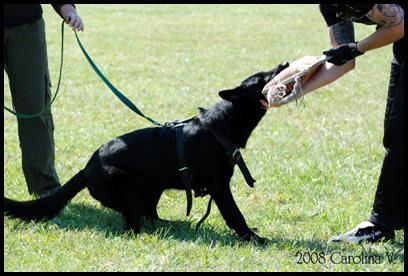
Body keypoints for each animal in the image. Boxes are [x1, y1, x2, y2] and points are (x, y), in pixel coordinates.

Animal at [3, 61, 290, 243]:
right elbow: (235, 215)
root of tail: (86, 169)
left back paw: (170, 225)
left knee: (150, 214)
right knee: (133, 224)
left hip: (153, 186)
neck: (221, 126)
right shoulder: (219, 188)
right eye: (263, 78)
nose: (286, 63)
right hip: (133, 185)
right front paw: (254, 239)